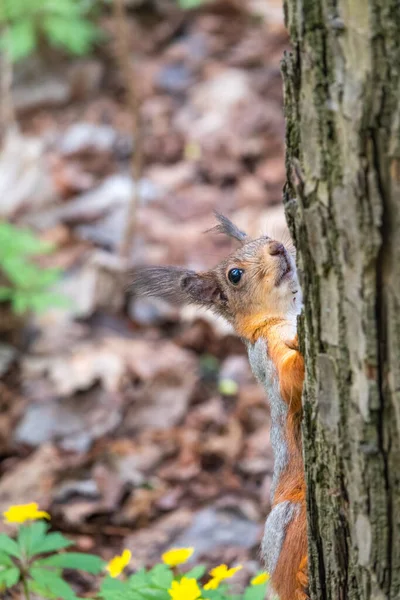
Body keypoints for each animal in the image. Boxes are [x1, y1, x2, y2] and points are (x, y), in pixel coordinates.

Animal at [133, 214, 308, 600]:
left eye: (265, 237)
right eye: (235, 275)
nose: (278, 247)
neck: (283, 314)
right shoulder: (265, 357)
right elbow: (288, 383)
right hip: (289, 514)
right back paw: (300, 577)